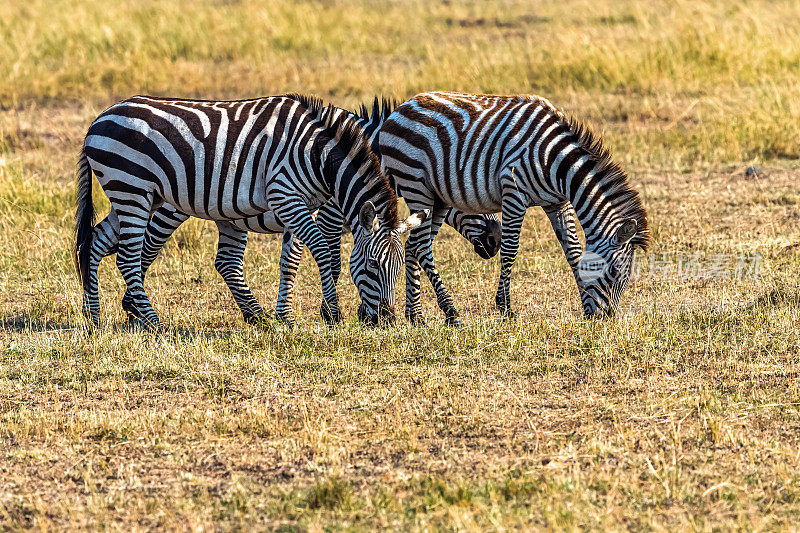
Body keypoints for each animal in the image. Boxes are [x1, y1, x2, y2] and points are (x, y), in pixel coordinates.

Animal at [106, 98, 500, 326]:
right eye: (466, 199)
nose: (495, 243)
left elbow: (297, 260)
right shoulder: (327, 214)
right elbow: (332, 260)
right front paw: (333, 312)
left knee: (217, 261)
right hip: (170, 206)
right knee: (144, 249)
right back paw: (135, 310)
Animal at [378, 91, 648, 324]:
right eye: (613, 274)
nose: (605, 318)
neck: (557, 163)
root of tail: (402, 107)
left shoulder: (558, 203)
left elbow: (572, 251)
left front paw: (583, 302)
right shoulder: (513, 191)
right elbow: (510, 250)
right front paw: (505, 307)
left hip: (438, 198)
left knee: (414, 246)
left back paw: (415, 315)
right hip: (416, 186)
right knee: (423, 247)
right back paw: (450, 312)